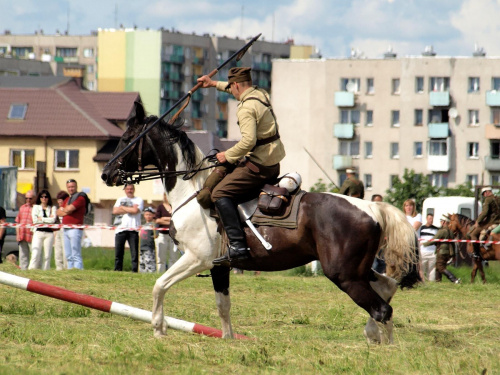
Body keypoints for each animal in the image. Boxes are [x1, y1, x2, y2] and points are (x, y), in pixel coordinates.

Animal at [101, 101, 422, 346]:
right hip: (358, 271)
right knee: (387, 287)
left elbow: (159, 285)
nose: (105, 174)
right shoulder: (219, 266)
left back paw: (384, 344)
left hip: (344, 274)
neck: (193, 190)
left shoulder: (197, 259)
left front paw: (159, 328)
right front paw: (228, 339)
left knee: (382, 308)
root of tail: (372, 207)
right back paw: (374, 335)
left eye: (127, 139)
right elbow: (223, 305)